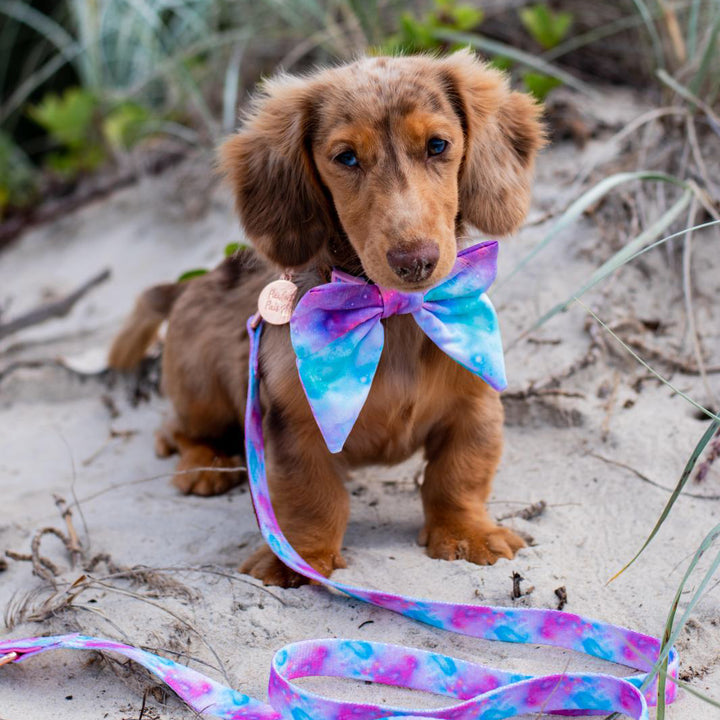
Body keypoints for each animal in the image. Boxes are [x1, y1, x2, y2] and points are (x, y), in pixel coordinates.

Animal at [109, 50, 544, 584]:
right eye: (347, 158)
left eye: (438, 145)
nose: (415, 261)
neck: (389, 314)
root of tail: (192, 284)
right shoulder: (295, 422)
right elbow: (311, 495)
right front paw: (300, 559)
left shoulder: (474, 402)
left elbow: (458, 475)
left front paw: (467, 532)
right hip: (202, 391)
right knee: (175, 429)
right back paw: (205, 464)